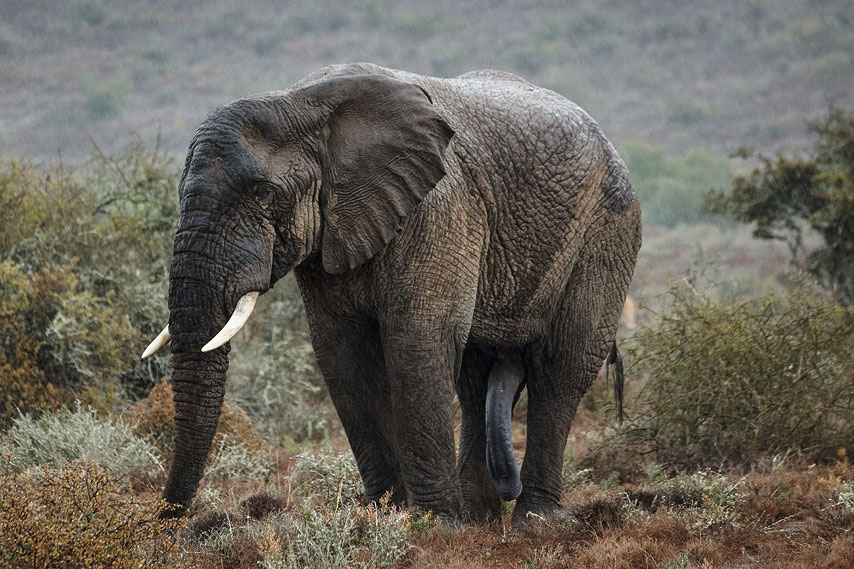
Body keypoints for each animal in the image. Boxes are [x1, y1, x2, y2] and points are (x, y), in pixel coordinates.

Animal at [141, 62, 641, 526]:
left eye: (264, 195)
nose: (165, 519)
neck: (299, 101)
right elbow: (342, 354)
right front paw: (386, 516)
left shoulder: (440, 207)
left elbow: (417, 341)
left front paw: (436, 528)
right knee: (474, 376)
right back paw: (480, 516)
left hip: (609, 231)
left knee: (562, 367)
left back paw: (535, 522)